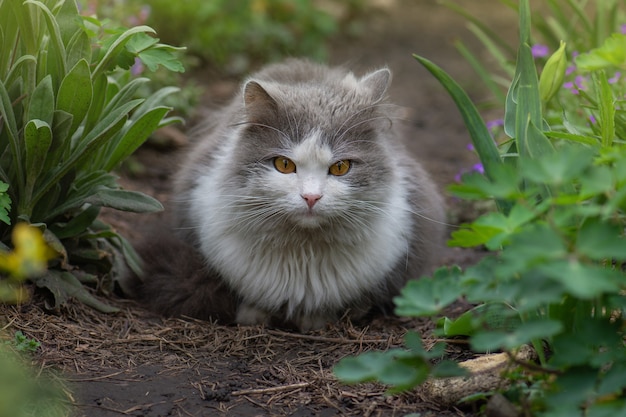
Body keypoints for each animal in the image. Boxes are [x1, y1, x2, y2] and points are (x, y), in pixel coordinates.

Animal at [132, 59, 444, 332]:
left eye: (340, 167)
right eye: (284, 165)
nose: (311, 197)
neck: (302, 256)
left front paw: (316, 321)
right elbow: (252, 301)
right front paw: (254, 318)